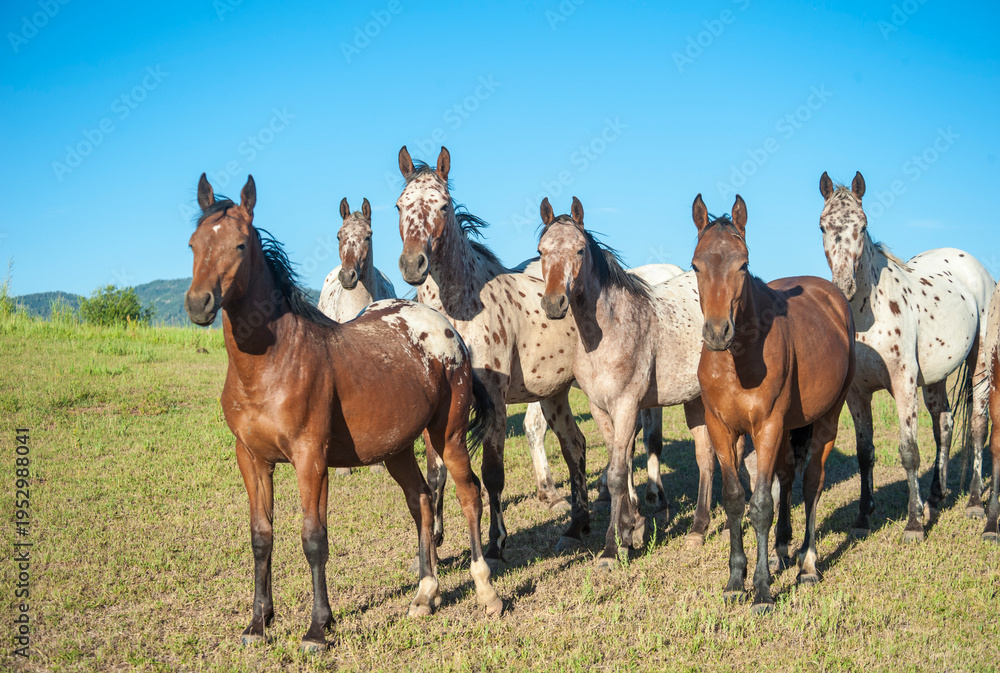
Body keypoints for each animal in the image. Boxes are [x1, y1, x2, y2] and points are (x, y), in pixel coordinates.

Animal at [396, 146, 590, 561]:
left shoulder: (495, 403)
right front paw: (435, 542)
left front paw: (496, 543)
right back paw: (578, 526)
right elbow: (435, 474)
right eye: (400, 205)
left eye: (444, 205)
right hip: (555, 396)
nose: (413, 265)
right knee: (575, 446)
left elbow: (492, 474)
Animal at [536, 197, 719, 563]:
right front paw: (630, 530)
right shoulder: (599, 408)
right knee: (706, 458)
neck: (607, 332)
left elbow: (619, 474)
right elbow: (616, 464)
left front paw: (611, 548)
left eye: (579, 250)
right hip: (695, 401)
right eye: (541, 250)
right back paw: (699, 528)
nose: (553, 303)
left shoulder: (625, 405)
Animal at [691, 194, 855, 613]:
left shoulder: (767, 426)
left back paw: (808, 564)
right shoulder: (721, 428)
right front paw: (736, 580)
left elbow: (762, 504)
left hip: (826, 419)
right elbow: (736, 500)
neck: (737, 362)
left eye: (743, 264)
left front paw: (762, 590)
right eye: (696, 265)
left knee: (811, 482)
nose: (717, 332)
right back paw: (783, 550)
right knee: (788, 474)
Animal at [818, 172, 994, 540]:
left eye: (863, 225)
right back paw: (936, 496)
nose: (843, 287)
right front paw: (862, 517)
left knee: (977, 427)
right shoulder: (857, 394)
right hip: (936, 378)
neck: (868, 316)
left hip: (981, 365)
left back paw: (973, 503)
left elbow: (909, 452)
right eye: (823, 226)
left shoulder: (903, 384)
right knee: (944, 425)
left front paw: (913, 523)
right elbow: (865, 454)